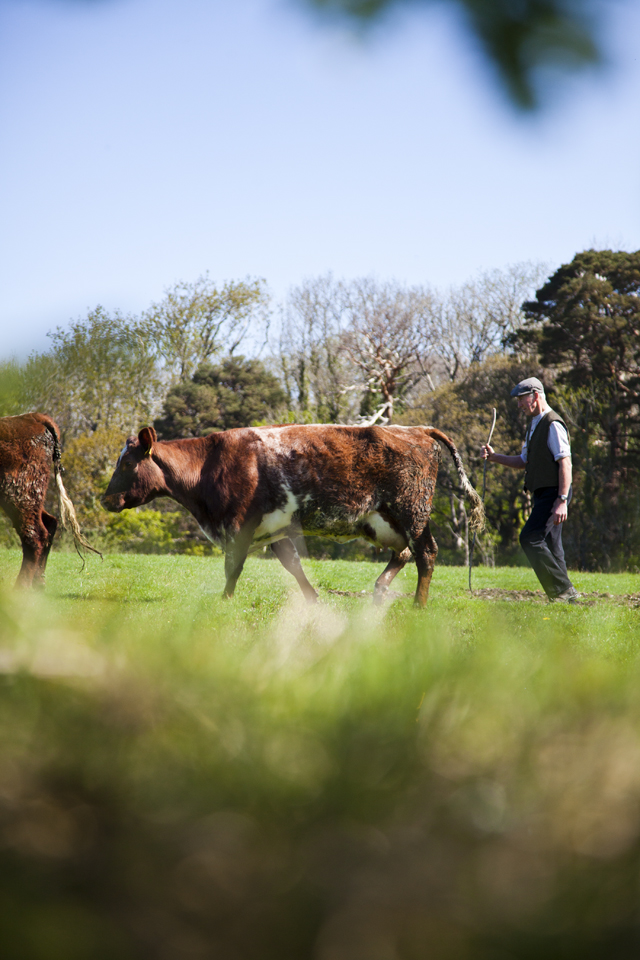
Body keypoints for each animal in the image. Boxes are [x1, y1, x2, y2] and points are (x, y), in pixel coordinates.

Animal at [0, 412, 100, 584]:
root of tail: (33, 417)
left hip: (19, 497)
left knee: (34, 536)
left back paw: (21, 588)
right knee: (49, 524)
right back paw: (38, 584)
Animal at [102, 422, 482, 604]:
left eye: (127, 464)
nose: (105, 500)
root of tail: (415, 428)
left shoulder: (238, 526)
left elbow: (233, 567)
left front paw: (225, 599)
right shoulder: (276, 529)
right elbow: (292, 564)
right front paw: (313, 599)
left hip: (412, 512)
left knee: (426, 553)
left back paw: (418, 604)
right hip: (385, 520)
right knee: (403, 553)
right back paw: (378, 590)